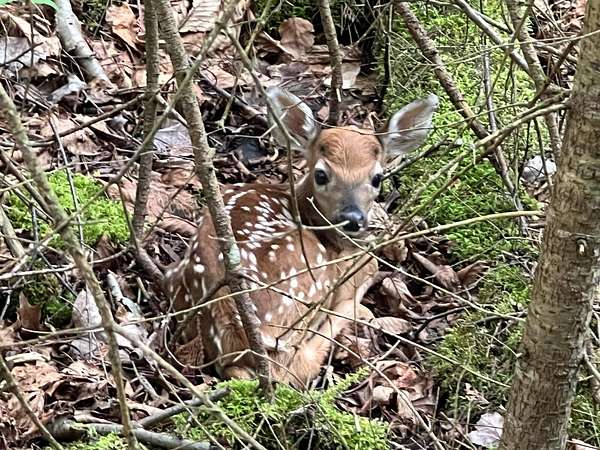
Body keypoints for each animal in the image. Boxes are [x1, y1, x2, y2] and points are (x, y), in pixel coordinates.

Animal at [165, 88, 438, 387]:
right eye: (321, 174)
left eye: (377, 178)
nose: (353, 218)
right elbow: (368, 265)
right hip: (308, 286)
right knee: (298, 366)